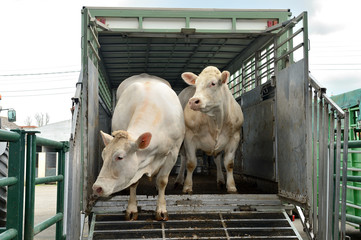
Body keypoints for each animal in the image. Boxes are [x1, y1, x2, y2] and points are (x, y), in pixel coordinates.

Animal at [91, 73, 184, 221]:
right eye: (103, 157)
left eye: (120, 157)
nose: (97, 188)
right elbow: (133, 183)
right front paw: (132, 209)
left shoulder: (173, 152)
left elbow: (162, 181)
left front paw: (161, 209)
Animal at [174, 66, 242, 194]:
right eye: (196, 85)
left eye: (213, 83)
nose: (193, 101)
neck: (215, 121)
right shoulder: (189, 138)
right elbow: (191, 163)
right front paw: (187, 186)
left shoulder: (235, 137)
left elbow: (229, 163)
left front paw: (231, 186)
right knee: (184, 158)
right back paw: (179, 180)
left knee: (217, 159)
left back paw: (220, 180)